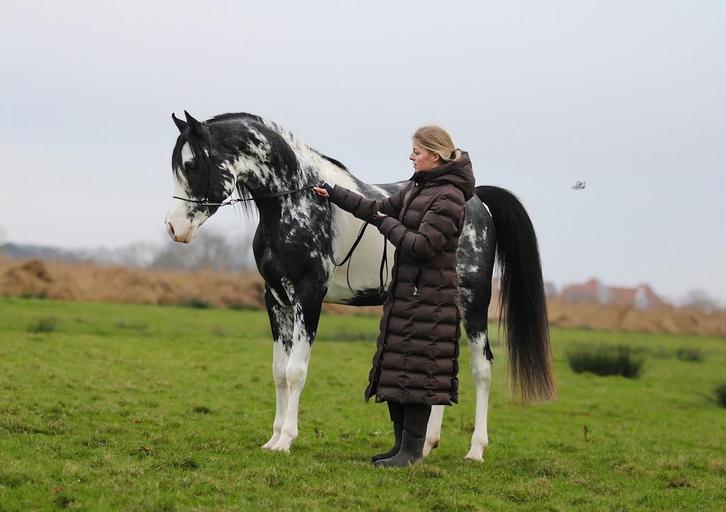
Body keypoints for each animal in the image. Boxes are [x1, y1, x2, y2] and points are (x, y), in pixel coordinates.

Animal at [164, 111, 555, 461]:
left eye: (193, 165)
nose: (174, 229)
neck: (297, 203)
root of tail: (478, 201)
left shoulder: (309, 297)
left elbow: (295, 372)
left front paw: (286, 440)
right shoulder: (276, 300)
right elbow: (278, 372)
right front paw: (272, 438)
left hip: (474, 301)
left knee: (481, 369)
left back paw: (475, 450)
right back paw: (427, 446)